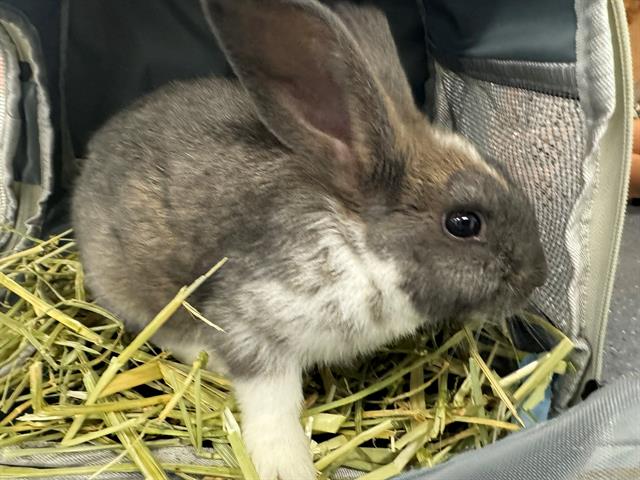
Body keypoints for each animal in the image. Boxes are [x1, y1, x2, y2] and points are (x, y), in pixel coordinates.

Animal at [72, 0, 548, 480]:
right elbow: (272, 409)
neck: (361, 248)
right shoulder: (256, 329)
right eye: (464, 223)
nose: (537, 276)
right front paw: (288, 466)